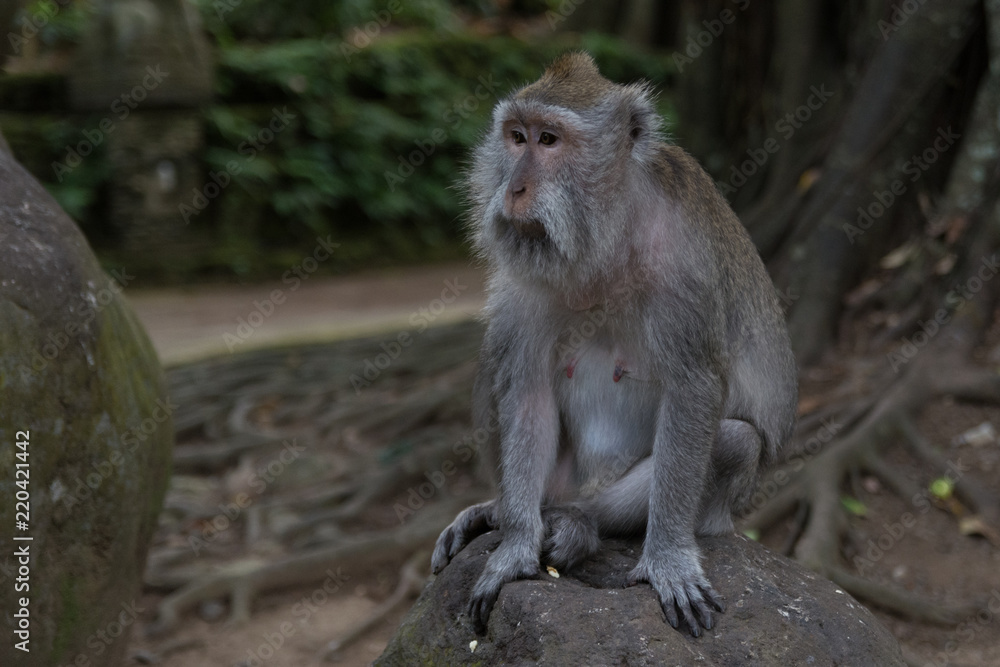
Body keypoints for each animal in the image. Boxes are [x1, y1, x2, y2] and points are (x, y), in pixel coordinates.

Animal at [430, 52, 796, 636]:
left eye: (549, 140)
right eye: (516, 136)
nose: (513, 190)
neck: (604, 240)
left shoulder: (683, 270)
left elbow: (695, 389)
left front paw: (667, 558)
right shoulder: (523, 286)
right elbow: (526, 391)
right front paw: (515, 546)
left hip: (712, 511)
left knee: (736, 440)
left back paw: (575, 523)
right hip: (559, 476)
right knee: (496, 362)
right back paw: (505, 511)